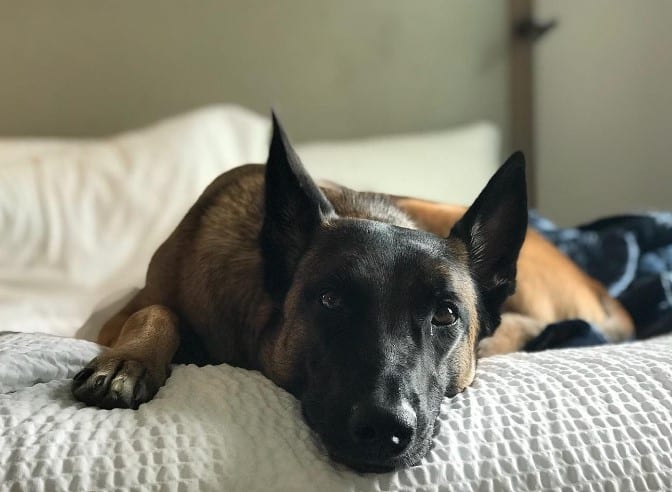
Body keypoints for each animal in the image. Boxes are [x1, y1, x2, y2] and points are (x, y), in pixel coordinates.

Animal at [71, 113, 632, 470]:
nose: (385, 430)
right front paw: (130, 361)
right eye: (331, 300)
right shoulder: (117, 313)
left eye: (446, 314)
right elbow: (156, 313)